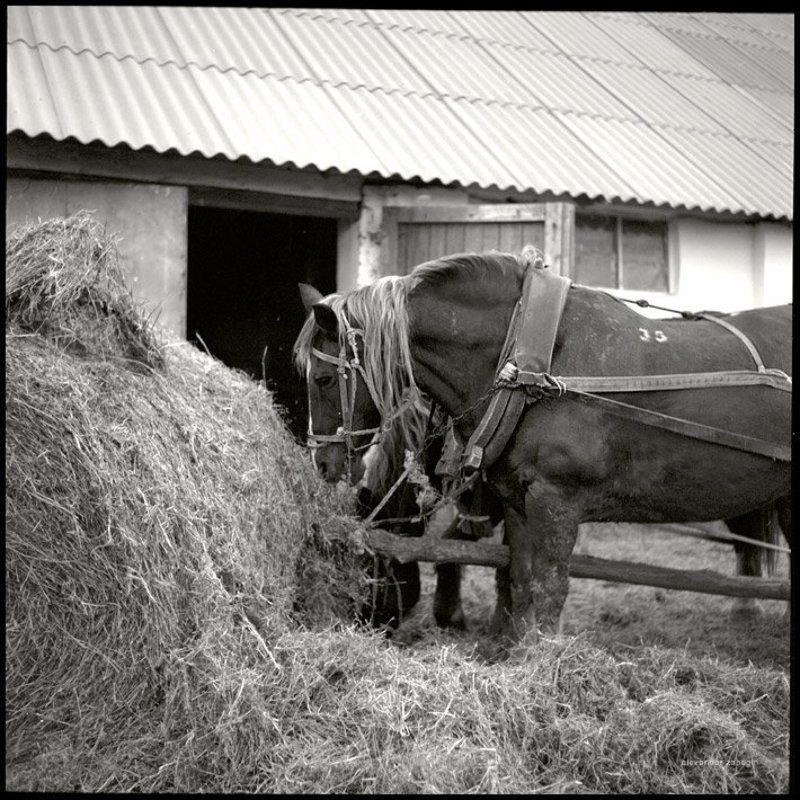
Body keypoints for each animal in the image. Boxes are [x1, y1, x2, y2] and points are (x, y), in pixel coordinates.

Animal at [296, 251, 791, 645]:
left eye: (323, 379)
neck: (530, 363)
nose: (322, 461)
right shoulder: (517, 501)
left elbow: (551, 588)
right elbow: (518, 580)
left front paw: (543, 663)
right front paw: (514, 650)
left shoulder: (556, 501)